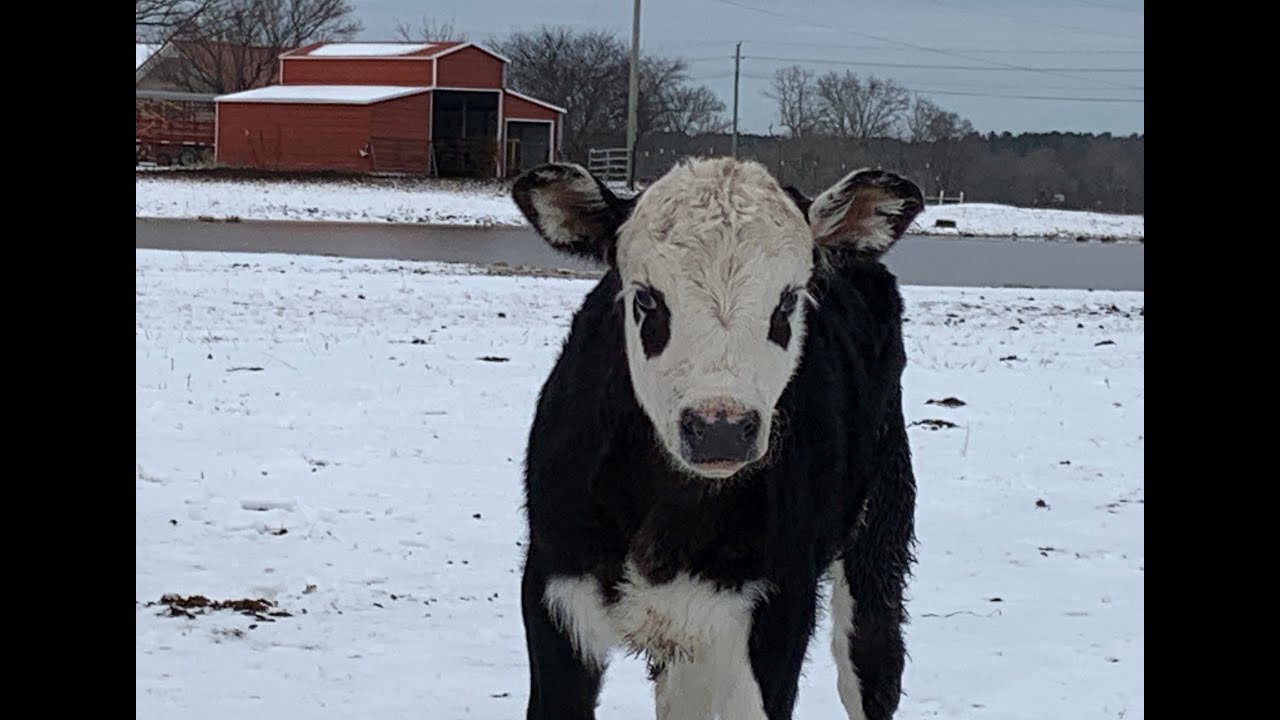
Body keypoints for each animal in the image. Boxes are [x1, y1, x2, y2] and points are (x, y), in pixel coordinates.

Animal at [512, 157, 924, 720]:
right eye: (646, 298)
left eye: (788, 301)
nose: (720, 429)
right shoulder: (554, 594)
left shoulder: (777, 611)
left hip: (878, 537)